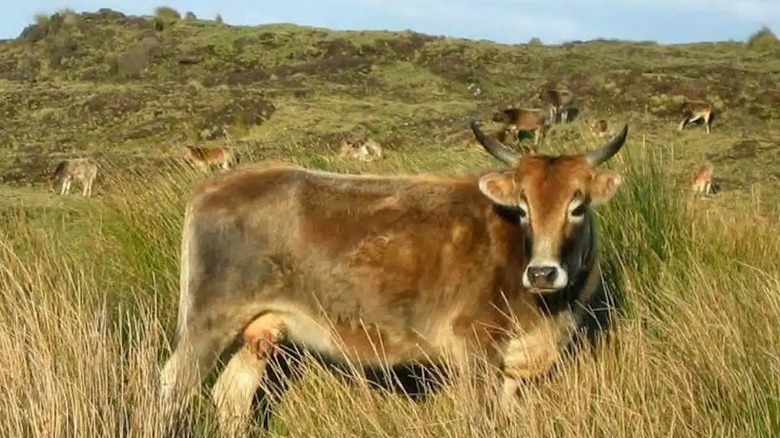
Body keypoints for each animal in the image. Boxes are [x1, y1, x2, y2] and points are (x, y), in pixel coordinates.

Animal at [157, 121, 630, 436]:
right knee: (172, 386)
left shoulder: (513, 367)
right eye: (523, 206)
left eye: (578, 206)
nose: (543, 272)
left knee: (232, 396)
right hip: (208, 322)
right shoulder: (473, 350)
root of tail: (219, 183)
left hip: (261, 330)